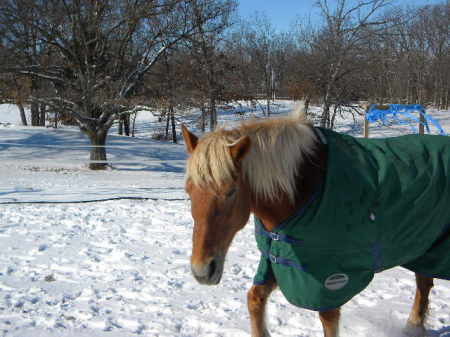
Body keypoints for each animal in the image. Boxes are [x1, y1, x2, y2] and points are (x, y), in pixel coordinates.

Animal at [180, 113, 450, 336]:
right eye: (189, 191)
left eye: (231, 192)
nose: (202, 271)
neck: (304, 189)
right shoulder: (278, 260)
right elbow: (254, 299)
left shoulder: (329, 280)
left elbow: (328, 320)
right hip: (426, 247)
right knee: (424, 284)